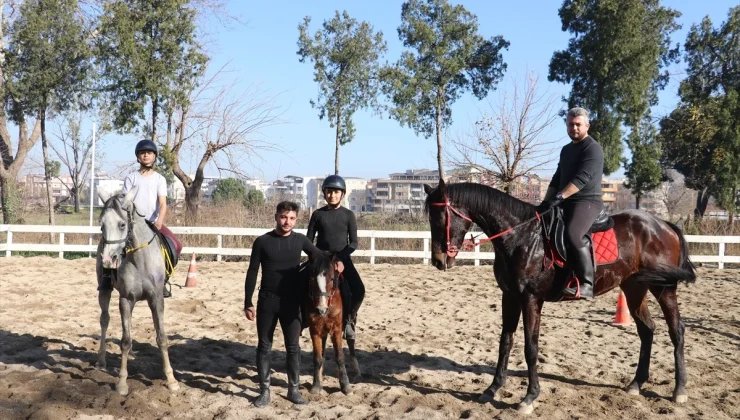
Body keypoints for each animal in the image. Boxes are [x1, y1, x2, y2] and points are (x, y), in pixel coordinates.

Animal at [94, 189, 178, 396]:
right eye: (101, 225)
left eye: (122, 224)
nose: (108, 260)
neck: (139, 259)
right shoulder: (125, 299)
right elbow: (125, 340)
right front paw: (122, 383)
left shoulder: (156, 299)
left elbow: (162, 338)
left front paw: (172, 381)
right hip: (104, 292)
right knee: (105, 320)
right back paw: (101, 361)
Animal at [304, 253, 362, 398]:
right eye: (311, 278)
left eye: (331, 278)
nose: (321, 309)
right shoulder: (315, 329)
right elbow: (317, 358)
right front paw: (316, 385)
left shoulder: (336, 329)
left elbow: (340, 357)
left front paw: (345, 386)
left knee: (351, 342)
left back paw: (356, 370)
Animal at [424, 180, 696, 414]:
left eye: (442, 216)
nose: (438, 260)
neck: (522, 237)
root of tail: (664, 225)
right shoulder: (509, 297)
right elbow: (505, 343)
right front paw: (492, 389)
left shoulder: (531, 299)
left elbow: (530, 347)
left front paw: (529, 397)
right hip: (633, 287)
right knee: (647, 330)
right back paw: (636, 384)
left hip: (664, 288)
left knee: (676, 330)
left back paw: (680, 390)